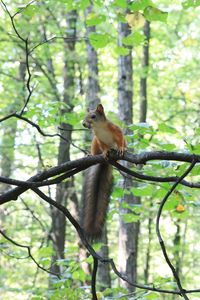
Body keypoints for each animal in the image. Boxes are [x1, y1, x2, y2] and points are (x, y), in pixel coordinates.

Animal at [81, 103, 126, 239]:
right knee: (96, 149)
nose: (83, 124)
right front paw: (106, 152)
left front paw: (121, 148)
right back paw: (92, 155)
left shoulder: (115, 129)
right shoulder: (98, 139)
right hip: (94, 142)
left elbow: (120, 138)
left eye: (93, 116)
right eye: (85, 115)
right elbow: (104, 146)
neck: (99, 127)